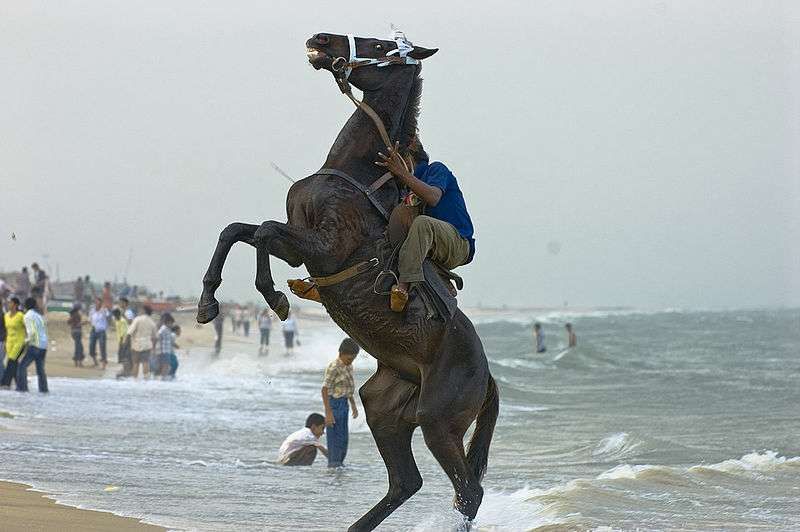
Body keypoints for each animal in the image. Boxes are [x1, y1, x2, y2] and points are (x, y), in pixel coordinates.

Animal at [196, 31, 498, 531]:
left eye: (378, 45)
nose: (320, 39)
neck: (357, 171)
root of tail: (487, 376)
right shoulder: (300, 244)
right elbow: (238, 231)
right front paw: (207, 303)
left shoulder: (325, 247)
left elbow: (262, 231)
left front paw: (275, 296)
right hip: (384, 409)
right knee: (406, 481)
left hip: (439, 422)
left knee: (467, 491)